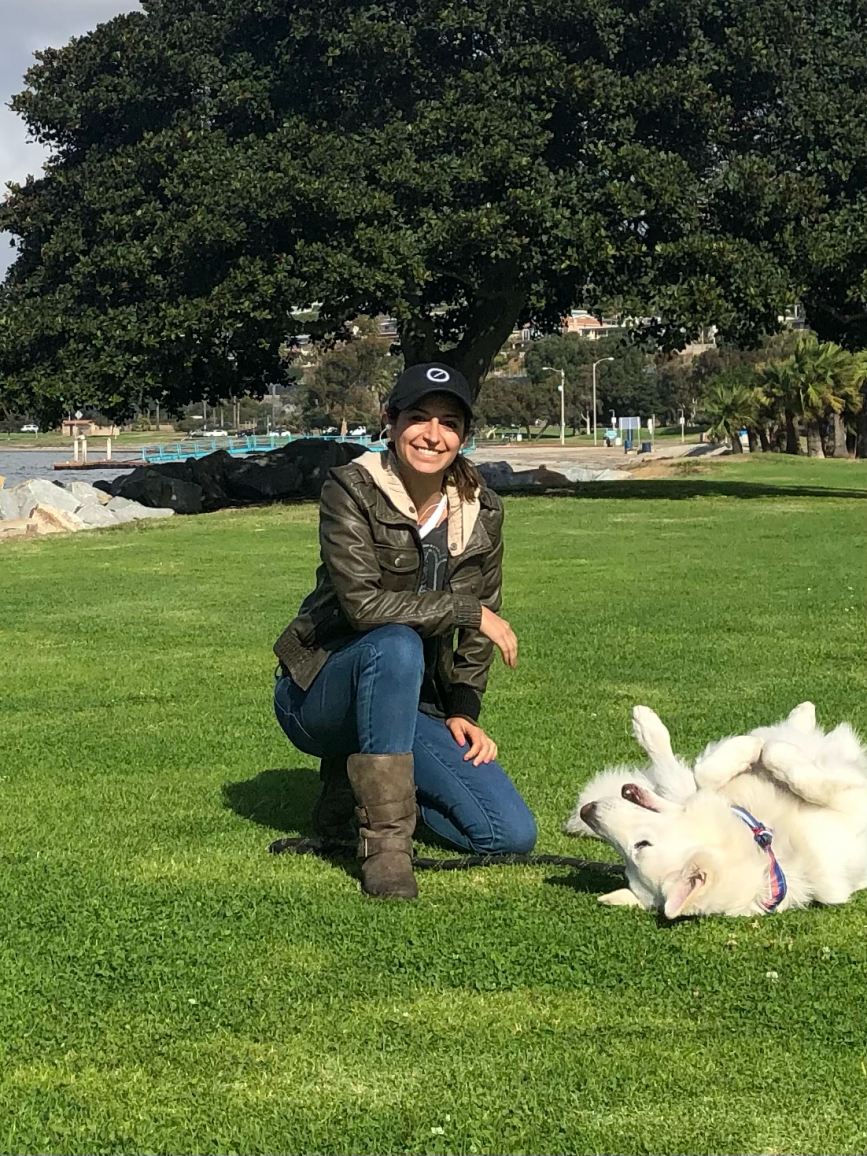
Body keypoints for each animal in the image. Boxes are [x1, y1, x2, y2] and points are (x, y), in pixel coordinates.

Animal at [566, 702, 864, 920]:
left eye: (642, 845)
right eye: (627, 861)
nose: (588, 811)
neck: (767, 842)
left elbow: (707, 773)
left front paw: (751, 747)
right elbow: (777, 756)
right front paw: (758, 747)